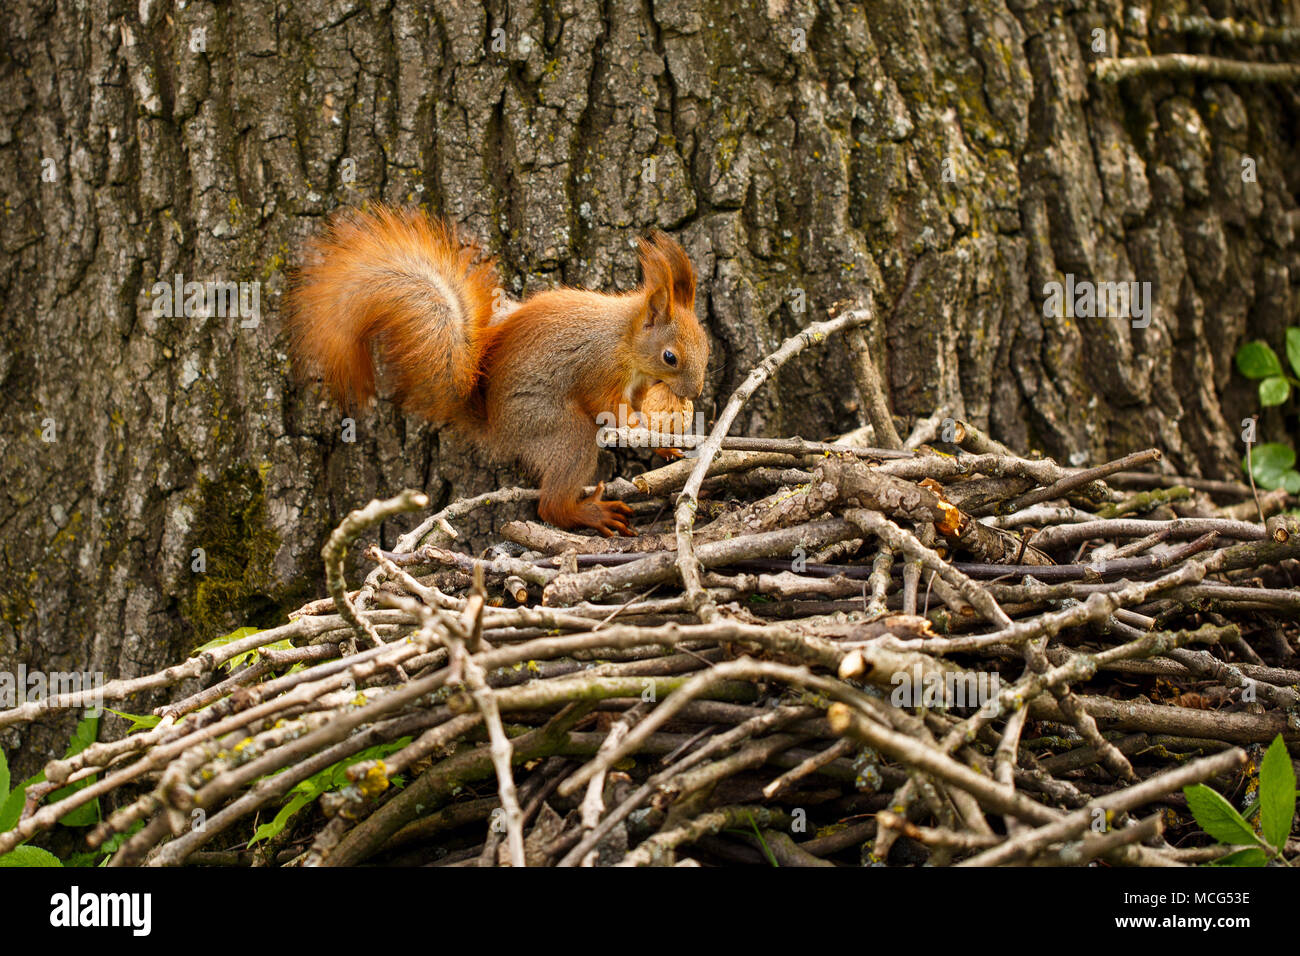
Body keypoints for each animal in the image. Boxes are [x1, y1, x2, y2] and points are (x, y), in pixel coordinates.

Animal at [287, 208, 712, 535]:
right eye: (670, 357)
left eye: (706, 346)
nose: (694, 393)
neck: (624, 337)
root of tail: (496, 425)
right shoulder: (598, 368)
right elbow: (607, 407)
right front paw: (640, 427)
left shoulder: (636, 383)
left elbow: (637, 406)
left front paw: (662, 441)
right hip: (553, 427)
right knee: (551, 504)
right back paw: (588, 513)